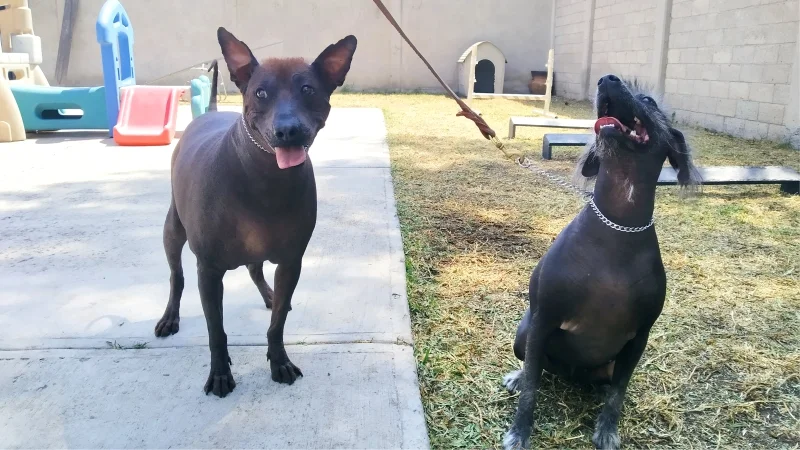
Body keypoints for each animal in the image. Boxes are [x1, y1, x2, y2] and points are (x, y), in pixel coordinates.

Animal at [153, 27, 356, 398]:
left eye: (308, 90)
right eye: (261, 92)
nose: (288, 130)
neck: (265, 176)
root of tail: (209, 111)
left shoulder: (291, 263)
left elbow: (277, 324)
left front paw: (279, 361)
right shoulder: (209, 271)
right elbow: (215, 331)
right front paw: (220, 373)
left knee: (254, 268)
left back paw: (270, 296)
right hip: (173, 229)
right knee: (177, 275)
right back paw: (170, 316)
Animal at [506, 75, 700, 448]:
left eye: (648, 100)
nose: (607, 79)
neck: (618, 224)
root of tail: (572, 375)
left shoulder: (639, 338)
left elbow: (618, 394)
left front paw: (608, 429)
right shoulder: (543, 320)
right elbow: (531, 391)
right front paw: (520, 431)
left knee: (606, 384)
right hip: (524, 335)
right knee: (535, 370)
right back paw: (519, 377)